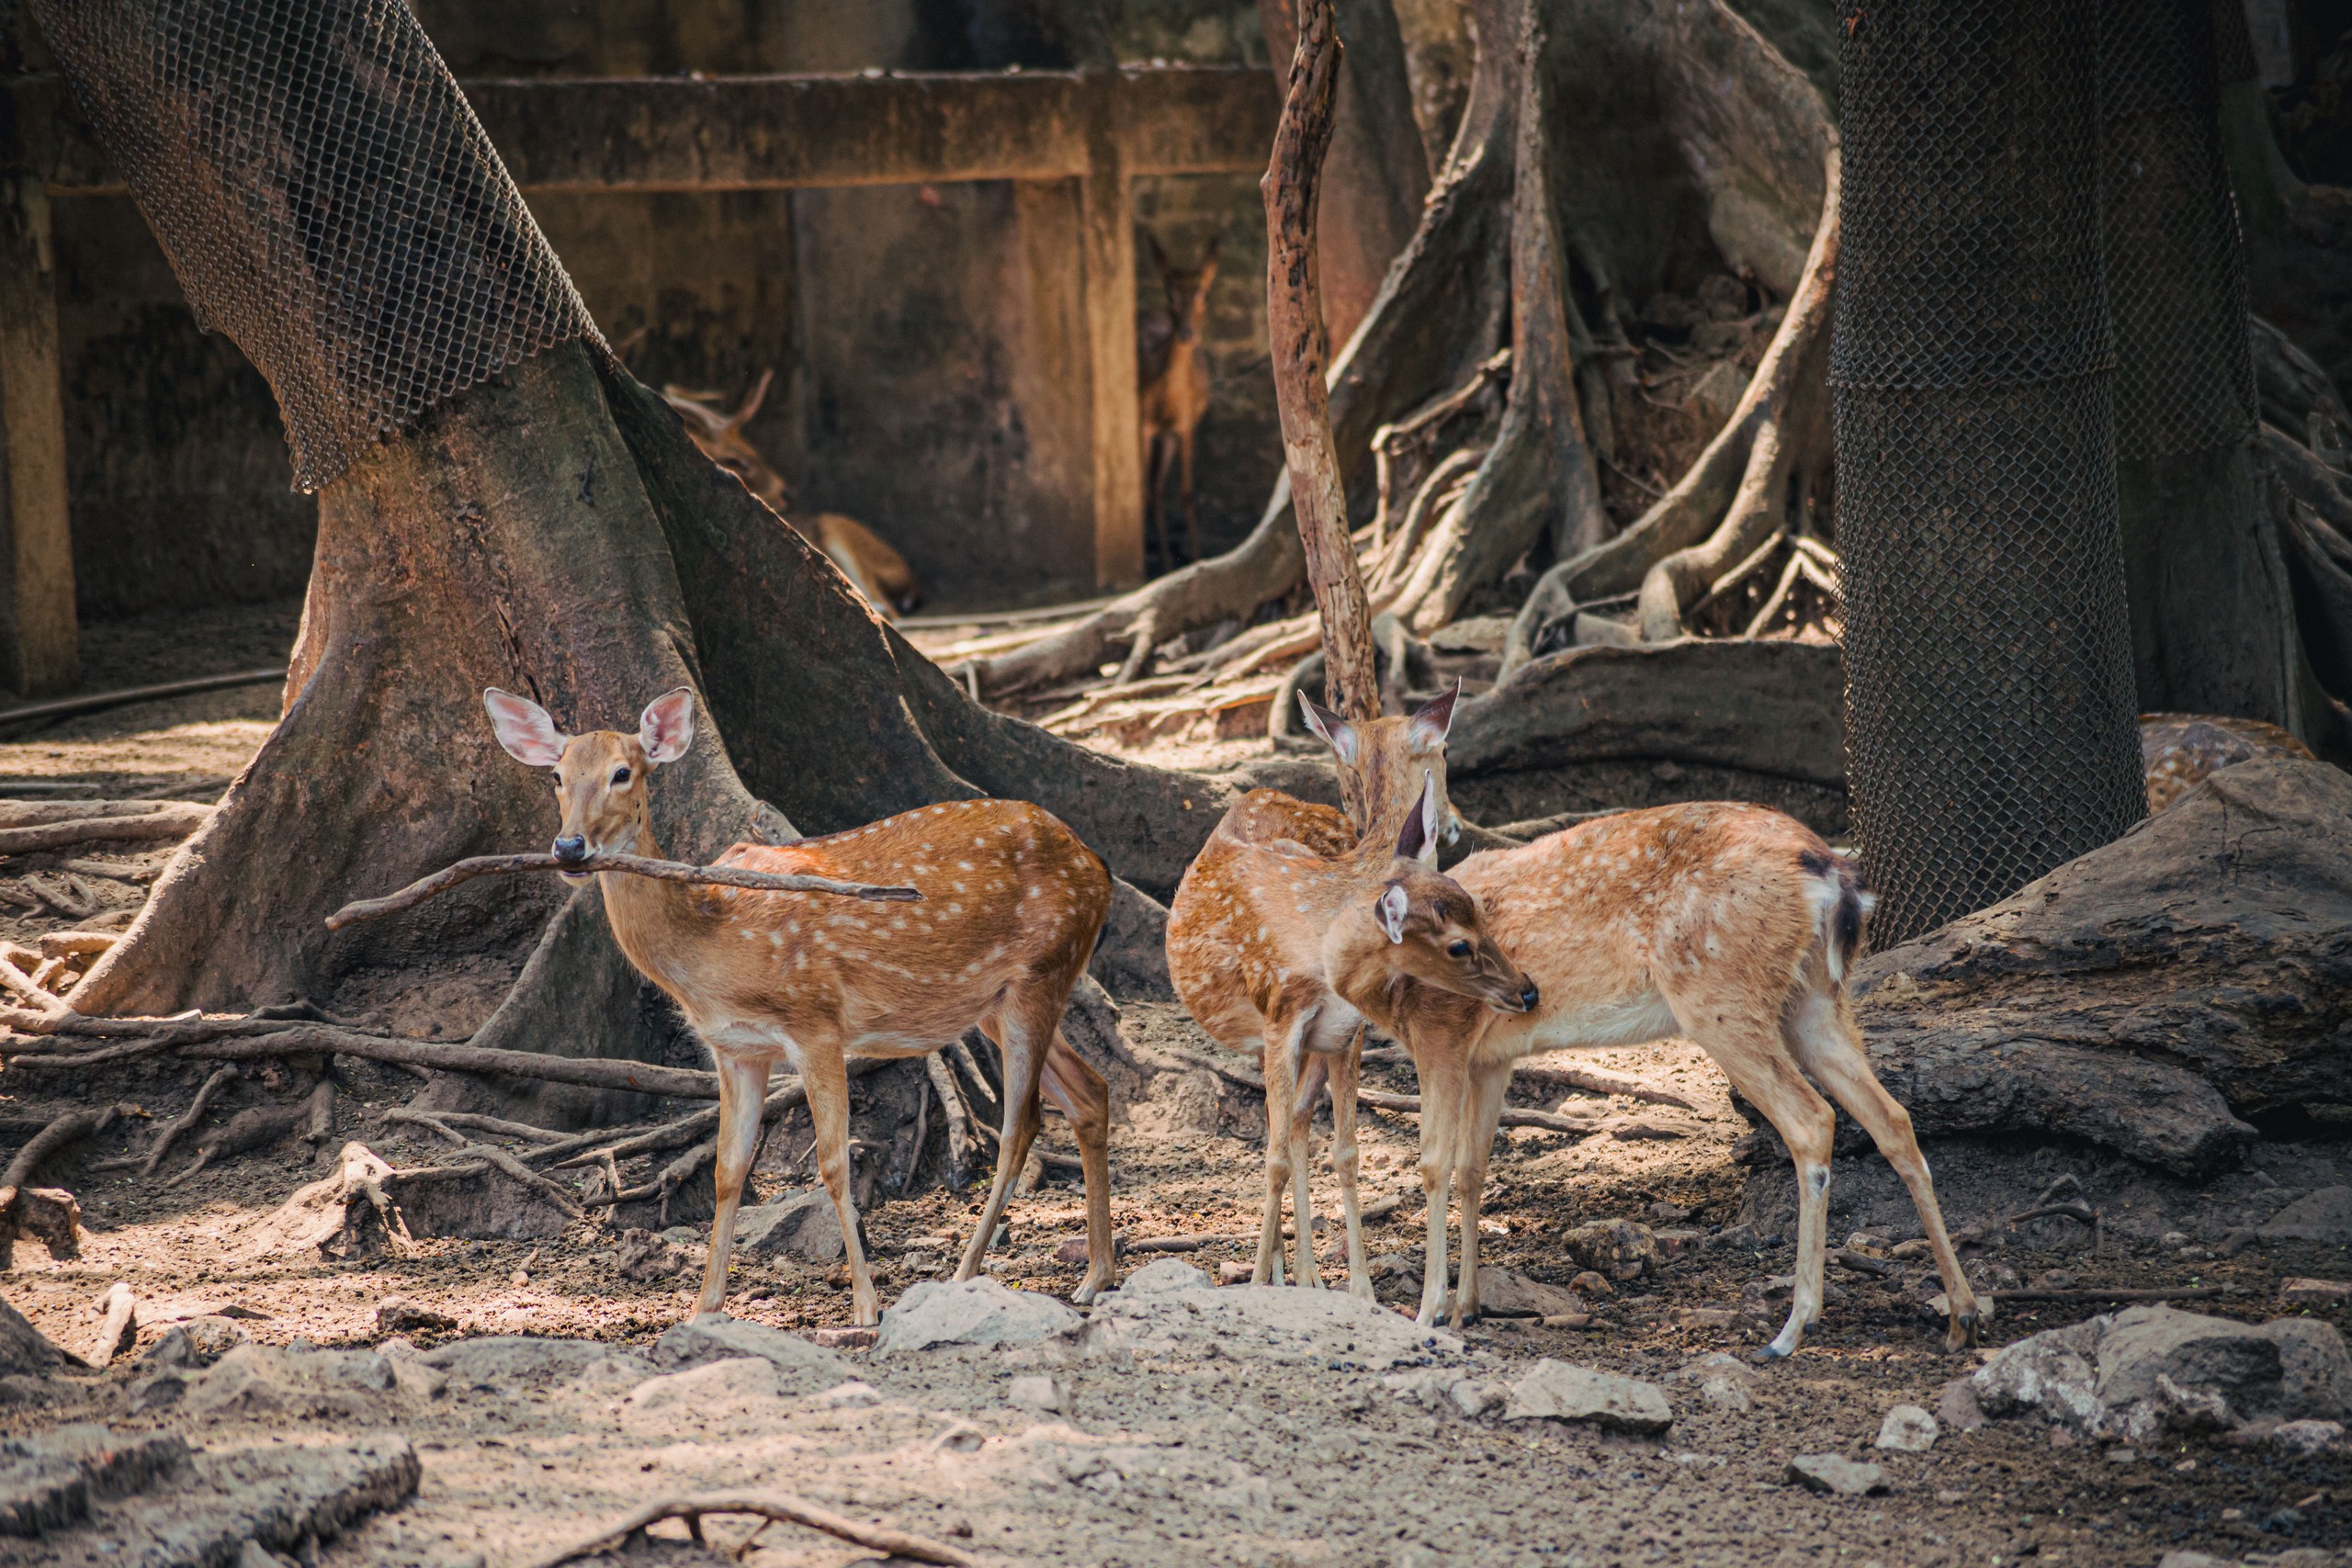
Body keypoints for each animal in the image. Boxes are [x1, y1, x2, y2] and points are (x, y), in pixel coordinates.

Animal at [481, 686, 1114, 1325]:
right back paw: (1096, 1276)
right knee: (1090, 1091)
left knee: (1022, 1125)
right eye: (557, 776)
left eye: (622, 773)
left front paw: (865, 1307)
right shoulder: (735, 1049)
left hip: (1042, 969)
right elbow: (728, 1169)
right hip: (996, 1000)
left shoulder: (816, 1020)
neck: (713, 948)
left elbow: (833, 1164)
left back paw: (966, 1275)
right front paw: (705, 1307)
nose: (569, 847)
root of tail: (1099, 869)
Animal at [1133, 230, 1223, 573]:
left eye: (1202, 294)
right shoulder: (1142, 425)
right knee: (1151, 487)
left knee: (1158, 486)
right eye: (1169, 294)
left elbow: (1186, 492)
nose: (1186, 333)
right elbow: (1143, 490)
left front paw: (1196, 559)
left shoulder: (1186, 425)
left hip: (1169, 437)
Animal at [1166, 682, 1533, 1288]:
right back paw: (1284, 1275)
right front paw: (1258, 1284)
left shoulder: (1346, 1028)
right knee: (1282, 1133)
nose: (1455, 821)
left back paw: (1306, 1276)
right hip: (1271, 1035)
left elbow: (1344, 1151)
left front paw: (1359, 1288)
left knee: (1296, 1124)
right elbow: (1272, 1158)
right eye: (1448, 750)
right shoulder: (1280, 1014)